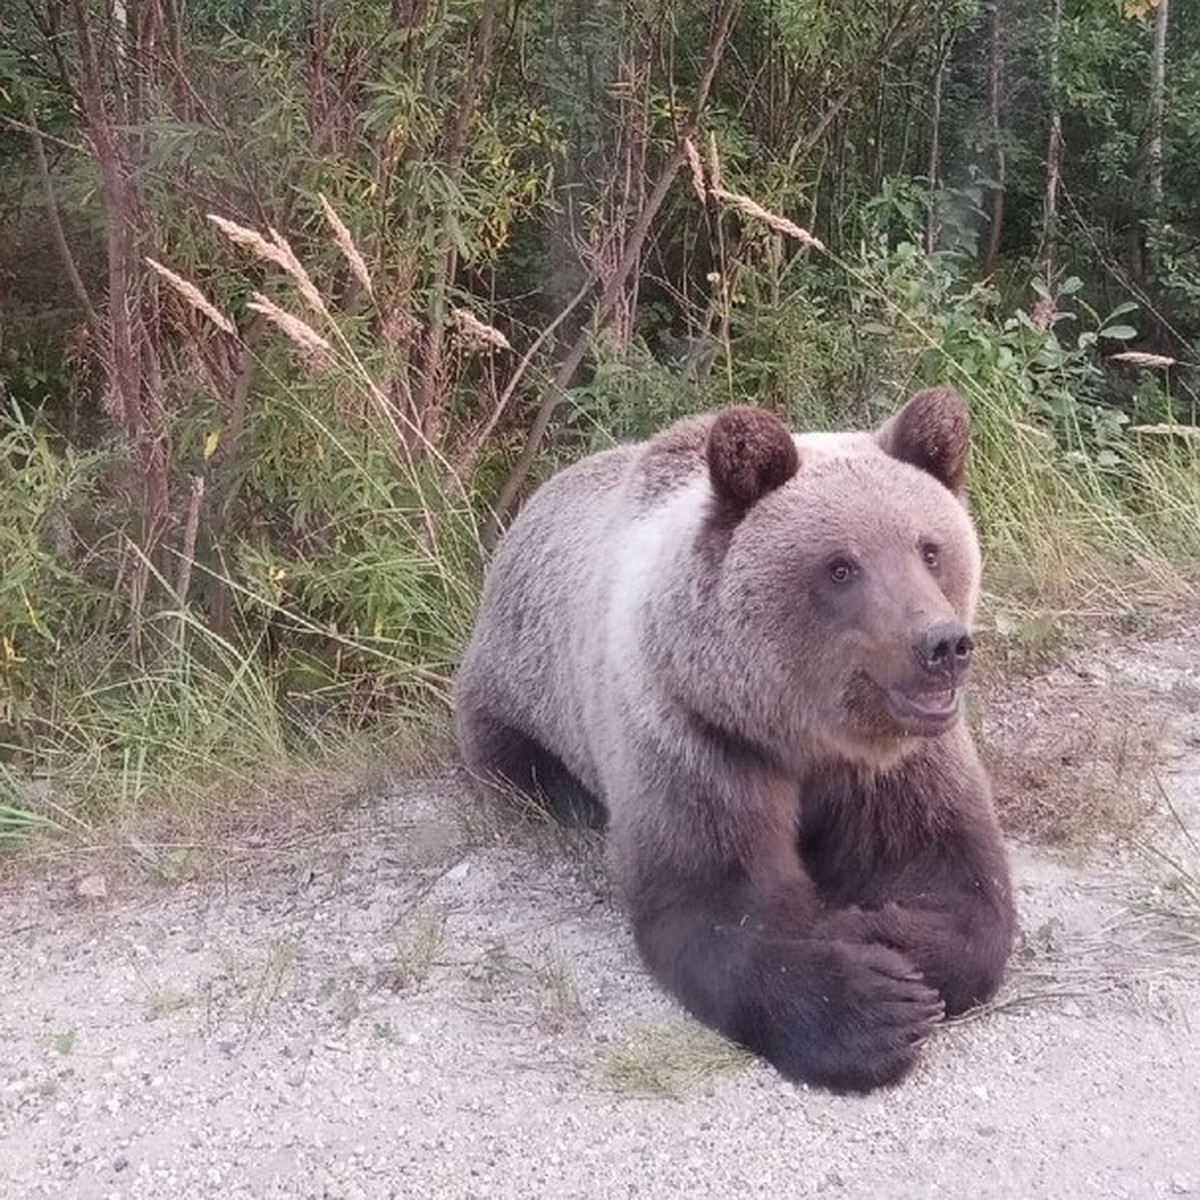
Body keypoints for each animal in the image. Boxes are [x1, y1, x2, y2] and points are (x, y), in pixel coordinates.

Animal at [453, 388, 1017, 1094]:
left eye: (930, 548)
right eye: (840, 566)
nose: (942, 644)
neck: (795, 731)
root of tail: (534, 500)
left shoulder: (895, 763)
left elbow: (956, 877)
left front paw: (889, 934)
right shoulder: (695, 737)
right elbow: (717, 902)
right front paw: (872, 1006)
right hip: (517, 679)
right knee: (516, 760)